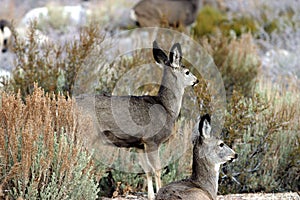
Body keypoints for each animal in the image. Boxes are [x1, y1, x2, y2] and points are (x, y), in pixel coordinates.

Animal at [77, 41, 199, 200]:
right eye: (187, 72)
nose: (197, 80)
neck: (166, 108)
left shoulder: (140, 145)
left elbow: (147, 170)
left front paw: (151, 195)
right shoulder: (152, 140)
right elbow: (157, 169)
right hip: (87, 134)